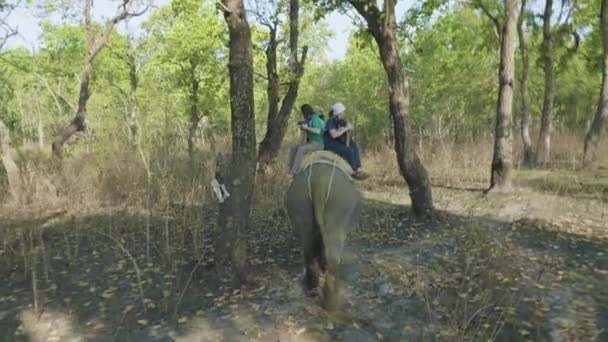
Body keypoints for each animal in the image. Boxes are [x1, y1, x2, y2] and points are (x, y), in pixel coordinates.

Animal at [284, 154, 360, 310]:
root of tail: (318, 182)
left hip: (299, 204)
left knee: (308, 250)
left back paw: (312, 287)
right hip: (338, 208)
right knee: (333, 254)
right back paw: (331, 300)